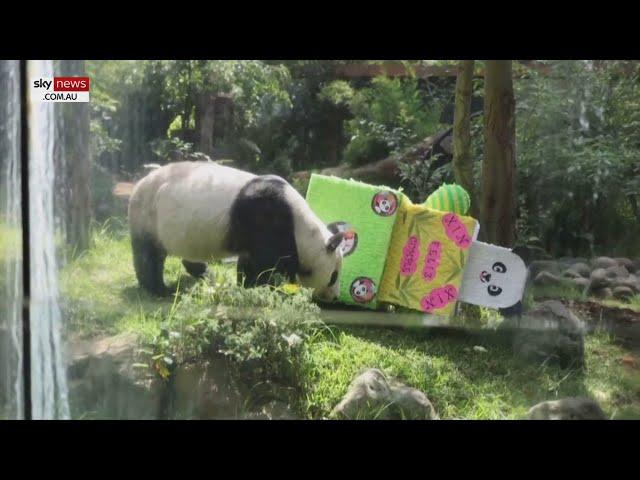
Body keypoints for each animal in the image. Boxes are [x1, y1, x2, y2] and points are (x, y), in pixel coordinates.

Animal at [126, 163, 344, 302]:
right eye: (334, 276)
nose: (334, 296)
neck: (303, 228)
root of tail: (137, 185)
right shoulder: (267, 216)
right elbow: (269, 264)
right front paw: (276, 289)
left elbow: (251, 263)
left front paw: (247, 287)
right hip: (147, 215)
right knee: (149, 255)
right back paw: (159, 289)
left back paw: (204, 273)